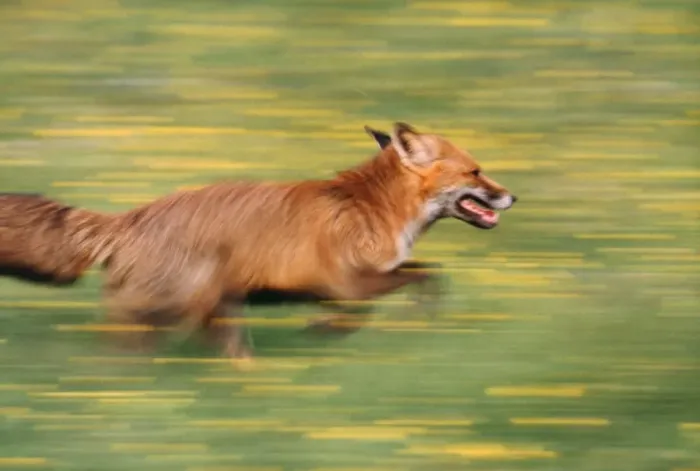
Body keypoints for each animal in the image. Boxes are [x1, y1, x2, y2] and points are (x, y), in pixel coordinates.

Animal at [0, 122, 517, 361]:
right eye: (475, 171)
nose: (513, 196)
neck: (375, 207)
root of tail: (132, 216)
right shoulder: (350, 283)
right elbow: (414, 281)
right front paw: (328, 330)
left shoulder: (347, 285)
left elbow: (417, 277)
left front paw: (325, 328)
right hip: (172, 310)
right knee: (115, 349)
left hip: (216, 310)